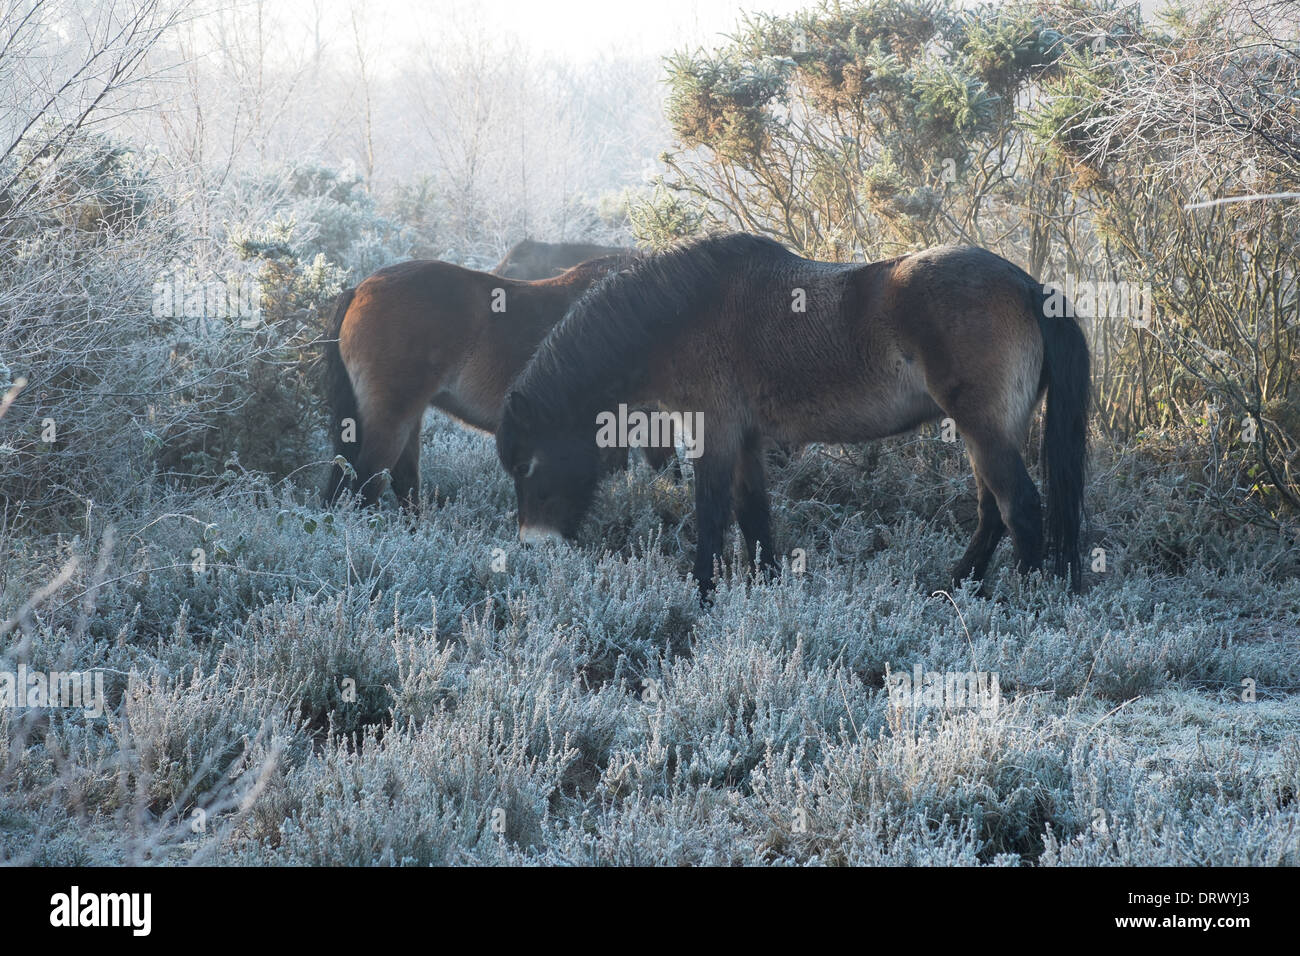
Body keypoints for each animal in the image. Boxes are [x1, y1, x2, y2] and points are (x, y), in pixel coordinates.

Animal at [493, 232, 1086, 598]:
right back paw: (956, 588)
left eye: (527, 466)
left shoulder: (713, 433)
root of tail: (1028, 285)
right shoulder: (745, 441)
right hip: (986, 433)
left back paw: (1019, 603)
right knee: (993, 513)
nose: (533, 545)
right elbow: (753, 516)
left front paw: (704, 592)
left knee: (1019, 509)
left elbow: (710, 516)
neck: (683, 314)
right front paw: (767, 586)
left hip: (983, 430)